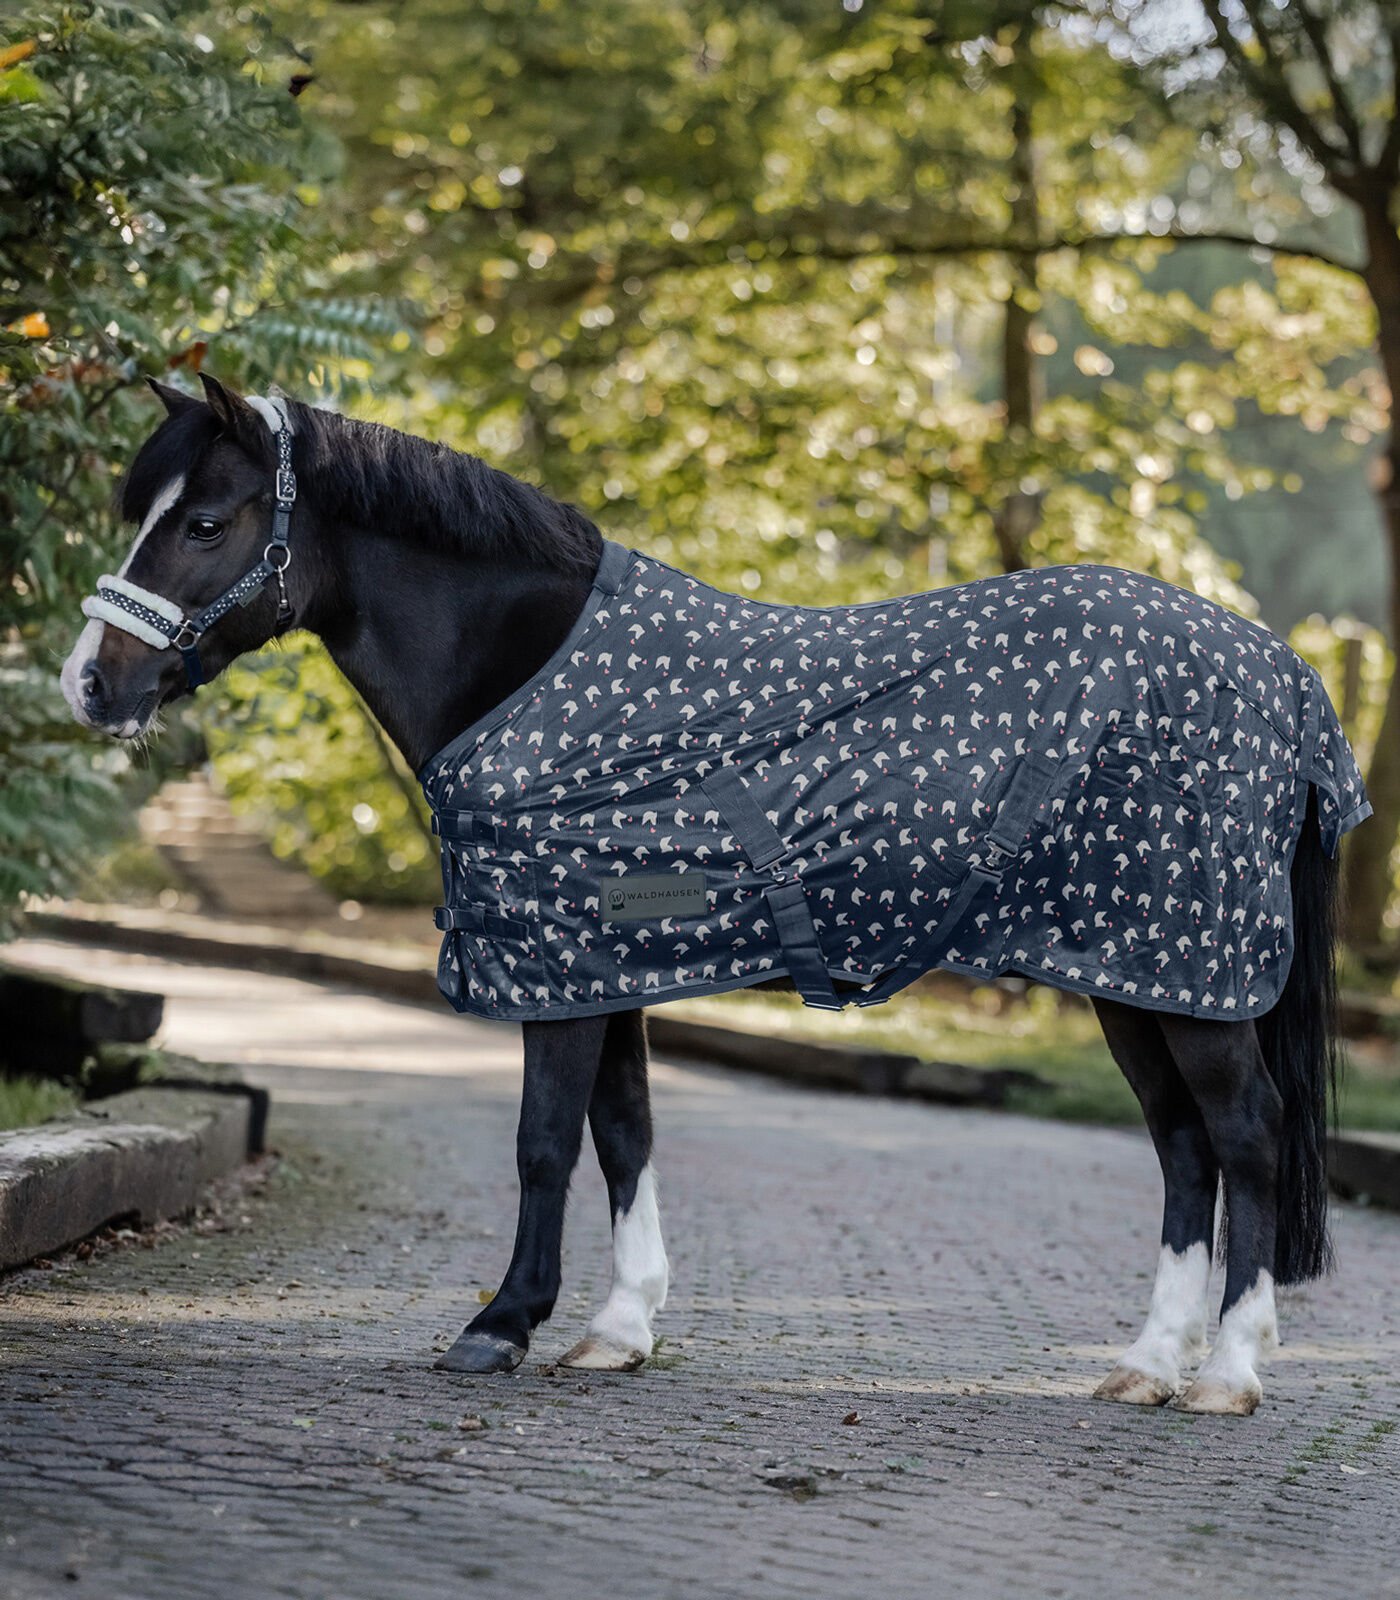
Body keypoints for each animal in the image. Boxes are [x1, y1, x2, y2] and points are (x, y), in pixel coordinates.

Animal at [61, 374, 1369, 1416]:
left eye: (207, 523)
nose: (89, 683)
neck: (526, 669)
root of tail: (1282, 674)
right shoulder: (599, 967)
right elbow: (625, 1132)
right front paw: (616, 1328)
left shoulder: (558, 965)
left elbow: (545, 1140)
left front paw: (500, 1324)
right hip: (1129, 975)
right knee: (1184, 1150)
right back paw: (1146, 1363)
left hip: (1186, 980)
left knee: (1243, 1137)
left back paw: (1226, 1374)